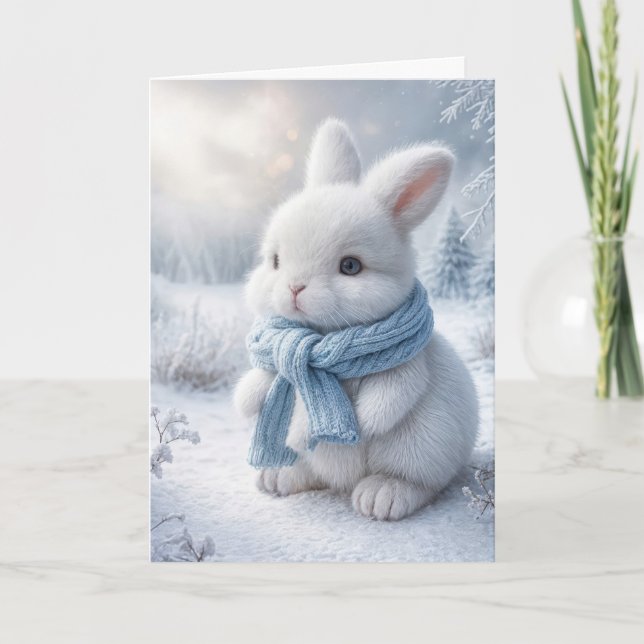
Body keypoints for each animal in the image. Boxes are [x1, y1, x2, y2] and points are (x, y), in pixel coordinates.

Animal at [234, 118, 479, 521]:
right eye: (276, 261)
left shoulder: (408, 366)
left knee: (419, 483)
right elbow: (263, 379)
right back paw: (278, 476)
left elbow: (393, 391)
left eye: (350, 267)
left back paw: (381, 495)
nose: (294, 288)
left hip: (422, 446)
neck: (322, 339)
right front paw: (245, 401)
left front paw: (362, 421)